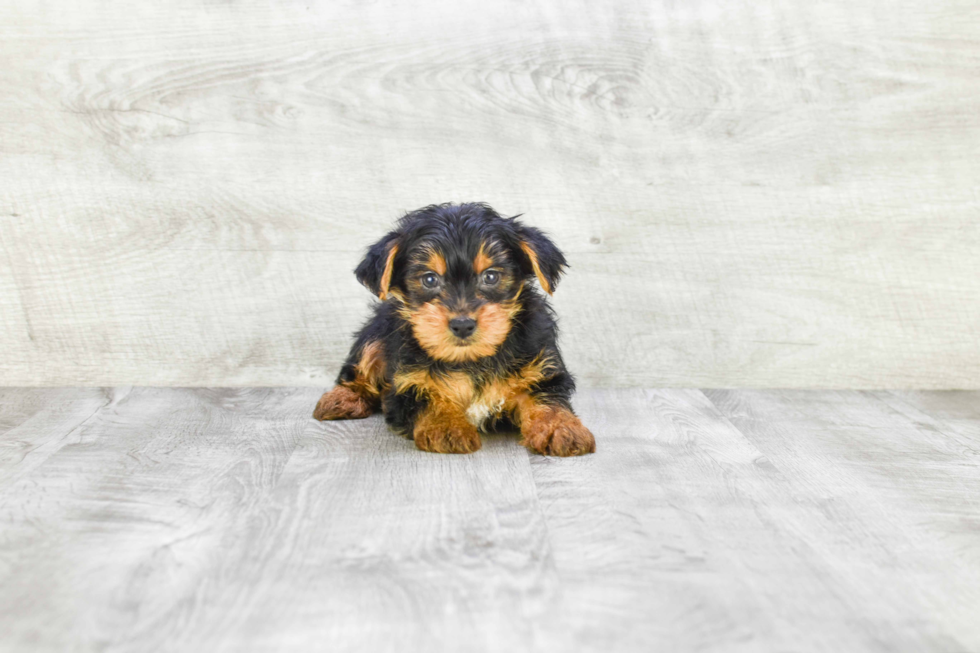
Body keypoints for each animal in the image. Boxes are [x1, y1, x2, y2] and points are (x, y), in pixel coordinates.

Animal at [314, 201, 592, 456]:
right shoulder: (406, 381)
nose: (462, 325)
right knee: (360, 364)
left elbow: (547, 398)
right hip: (376, 331)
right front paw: (446, 426)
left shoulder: (542, 368)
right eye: (429, 279)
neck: (469, 359)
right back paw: (342, 398)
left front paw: (560, 428)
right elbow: (428, 397)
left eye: (491, 276)